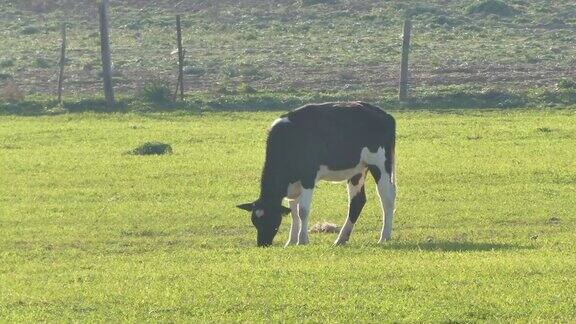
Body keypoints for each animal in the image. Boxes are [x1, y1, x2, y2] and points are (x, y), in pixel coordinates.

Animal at [237, 101, 396, 246]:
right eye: (255, 222)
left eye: (271, 221)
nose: (262, 244)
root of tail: (384, 114)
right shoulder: (294, 184)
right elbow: (294, 212)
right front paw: (291, 241)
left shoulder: (308, 176)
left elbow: (302, 210)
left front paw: (302, 240)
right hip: (357, 170)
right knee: (357, 202)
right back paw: (341, 239)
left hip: (381, 165)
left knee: (387, 198)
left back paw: (384, 237)